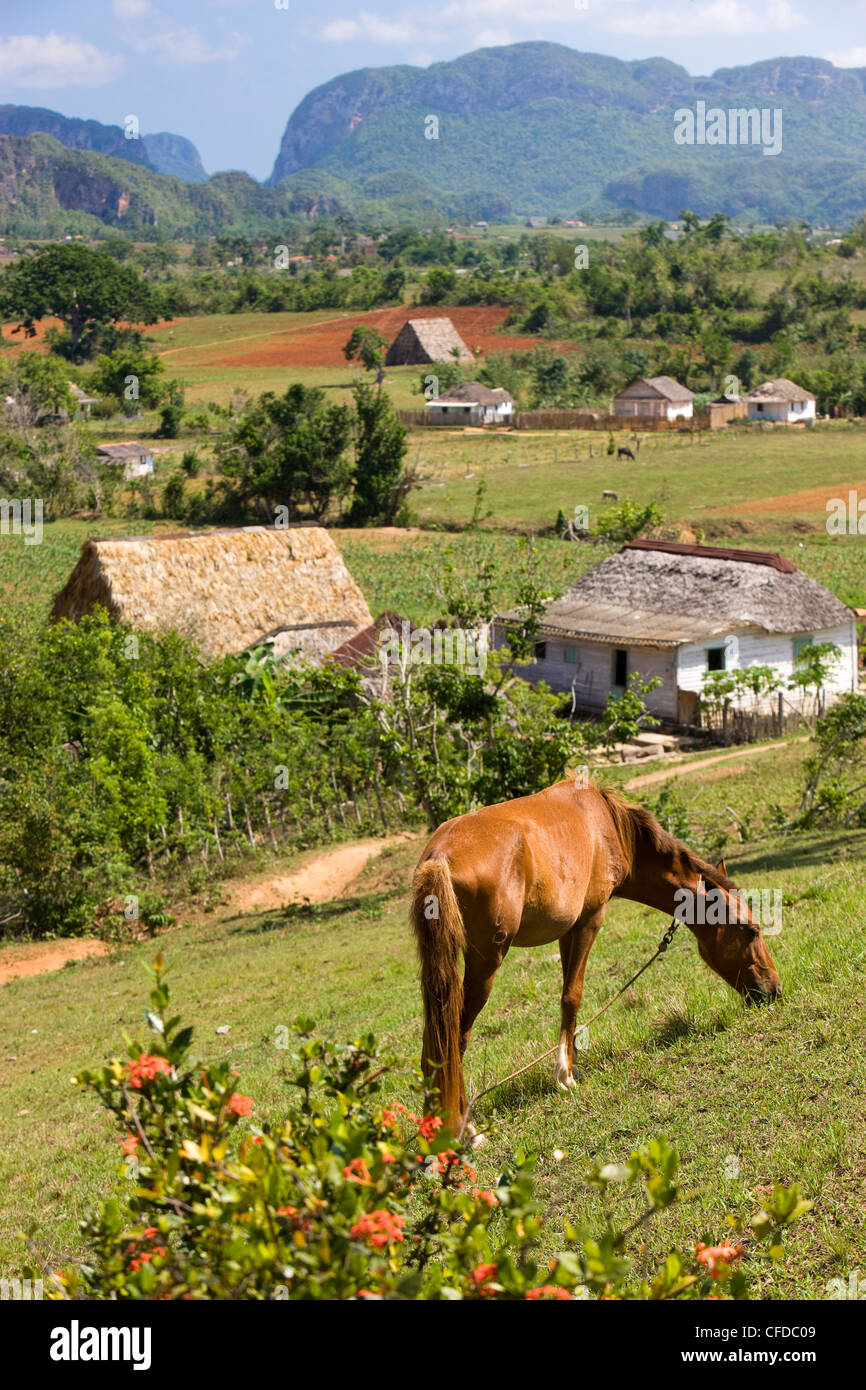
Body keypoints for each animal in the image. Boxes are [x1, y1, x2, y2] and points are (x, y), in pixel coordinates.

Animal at [408, 783, 783, 1128]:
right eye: (752, 931)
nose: (774, 989)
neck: (607, 826)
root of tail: (439, 856)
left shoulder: (568, 931)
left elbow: (566, 997)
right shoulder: (590, 920)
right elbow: (572, 996)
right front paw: (565, 1074)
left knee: (433, 1042)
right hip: (485, 963)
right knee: (455, 1036)